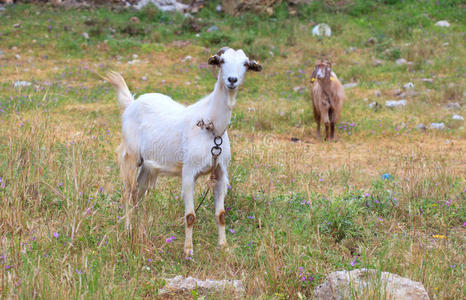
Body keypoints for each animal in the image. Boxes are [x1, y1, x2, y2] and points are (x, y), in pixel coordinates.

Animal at [105, 47, 262, 258]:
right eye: (221, 61)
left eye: (245, 63)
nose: (232, 80)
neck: (212, 129)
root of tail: (131, 103)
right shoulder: (188, 173)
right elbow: (190, 216)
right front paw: (188, 251)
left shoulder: (221, 172)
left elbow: (221, 215)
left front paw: (223, 246)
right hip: (130, 156)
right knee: (127, 193)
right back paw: (129, 229)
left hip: (147, 165)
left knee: (138, 192)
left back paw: (139, 227)